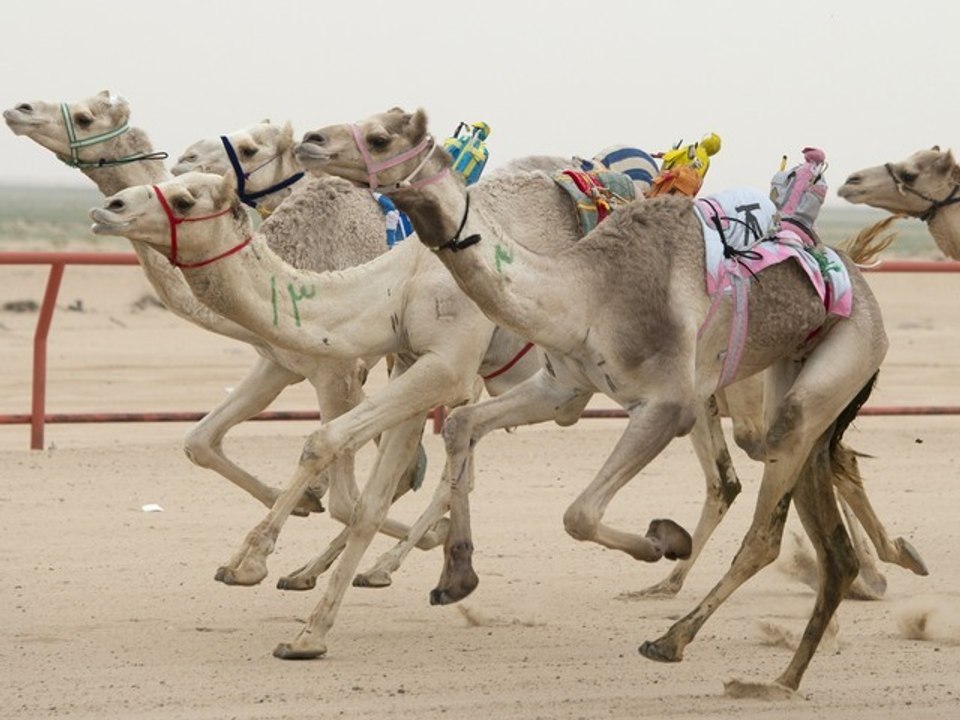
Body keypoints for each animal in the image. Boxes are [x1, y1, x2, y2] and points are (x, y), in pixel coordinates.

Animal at [299, 107, 926, 695]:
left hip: (839, 359)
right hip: (794, 375)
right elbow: (461, 426)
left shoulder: (667, 404)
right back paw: (788, 673)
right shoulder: (563, 385)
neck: (587, 292)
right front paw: (456, 576)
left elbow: (579, 514)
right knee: (827, 525)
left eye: (381, 137)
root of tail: (855, 271)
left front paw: (662, 540)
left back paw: (675, 639)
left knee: (766, 526)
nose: (310, 140)